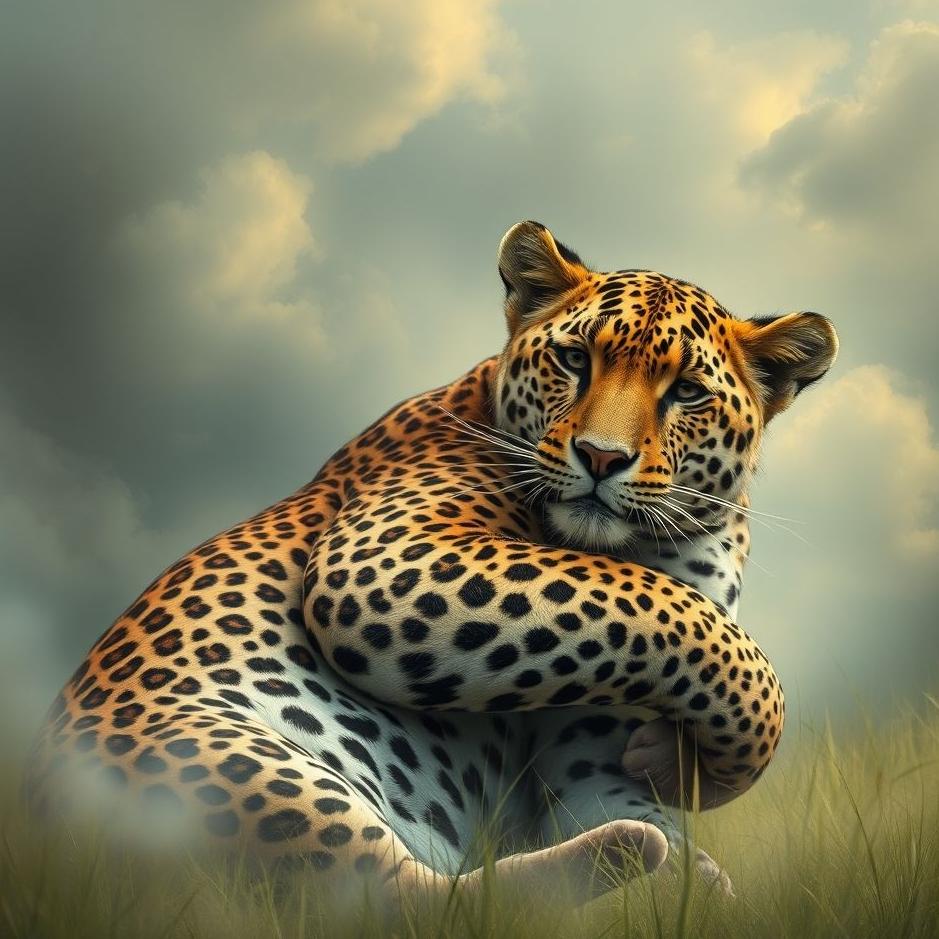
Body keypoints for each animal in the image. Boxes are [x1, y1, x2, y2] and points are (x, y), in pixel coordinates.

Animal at [26, 221, 838, 905]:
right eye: (575, 359)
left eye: (687, 392)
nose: (601, 457)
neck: (682, 542)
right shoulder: (386, 558)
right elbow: (676, 614)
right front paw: (692, 767)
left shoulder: (584, 760)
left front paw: (686, 851)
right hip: (222, 761)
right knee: (398, 902)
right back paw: (619, 854)